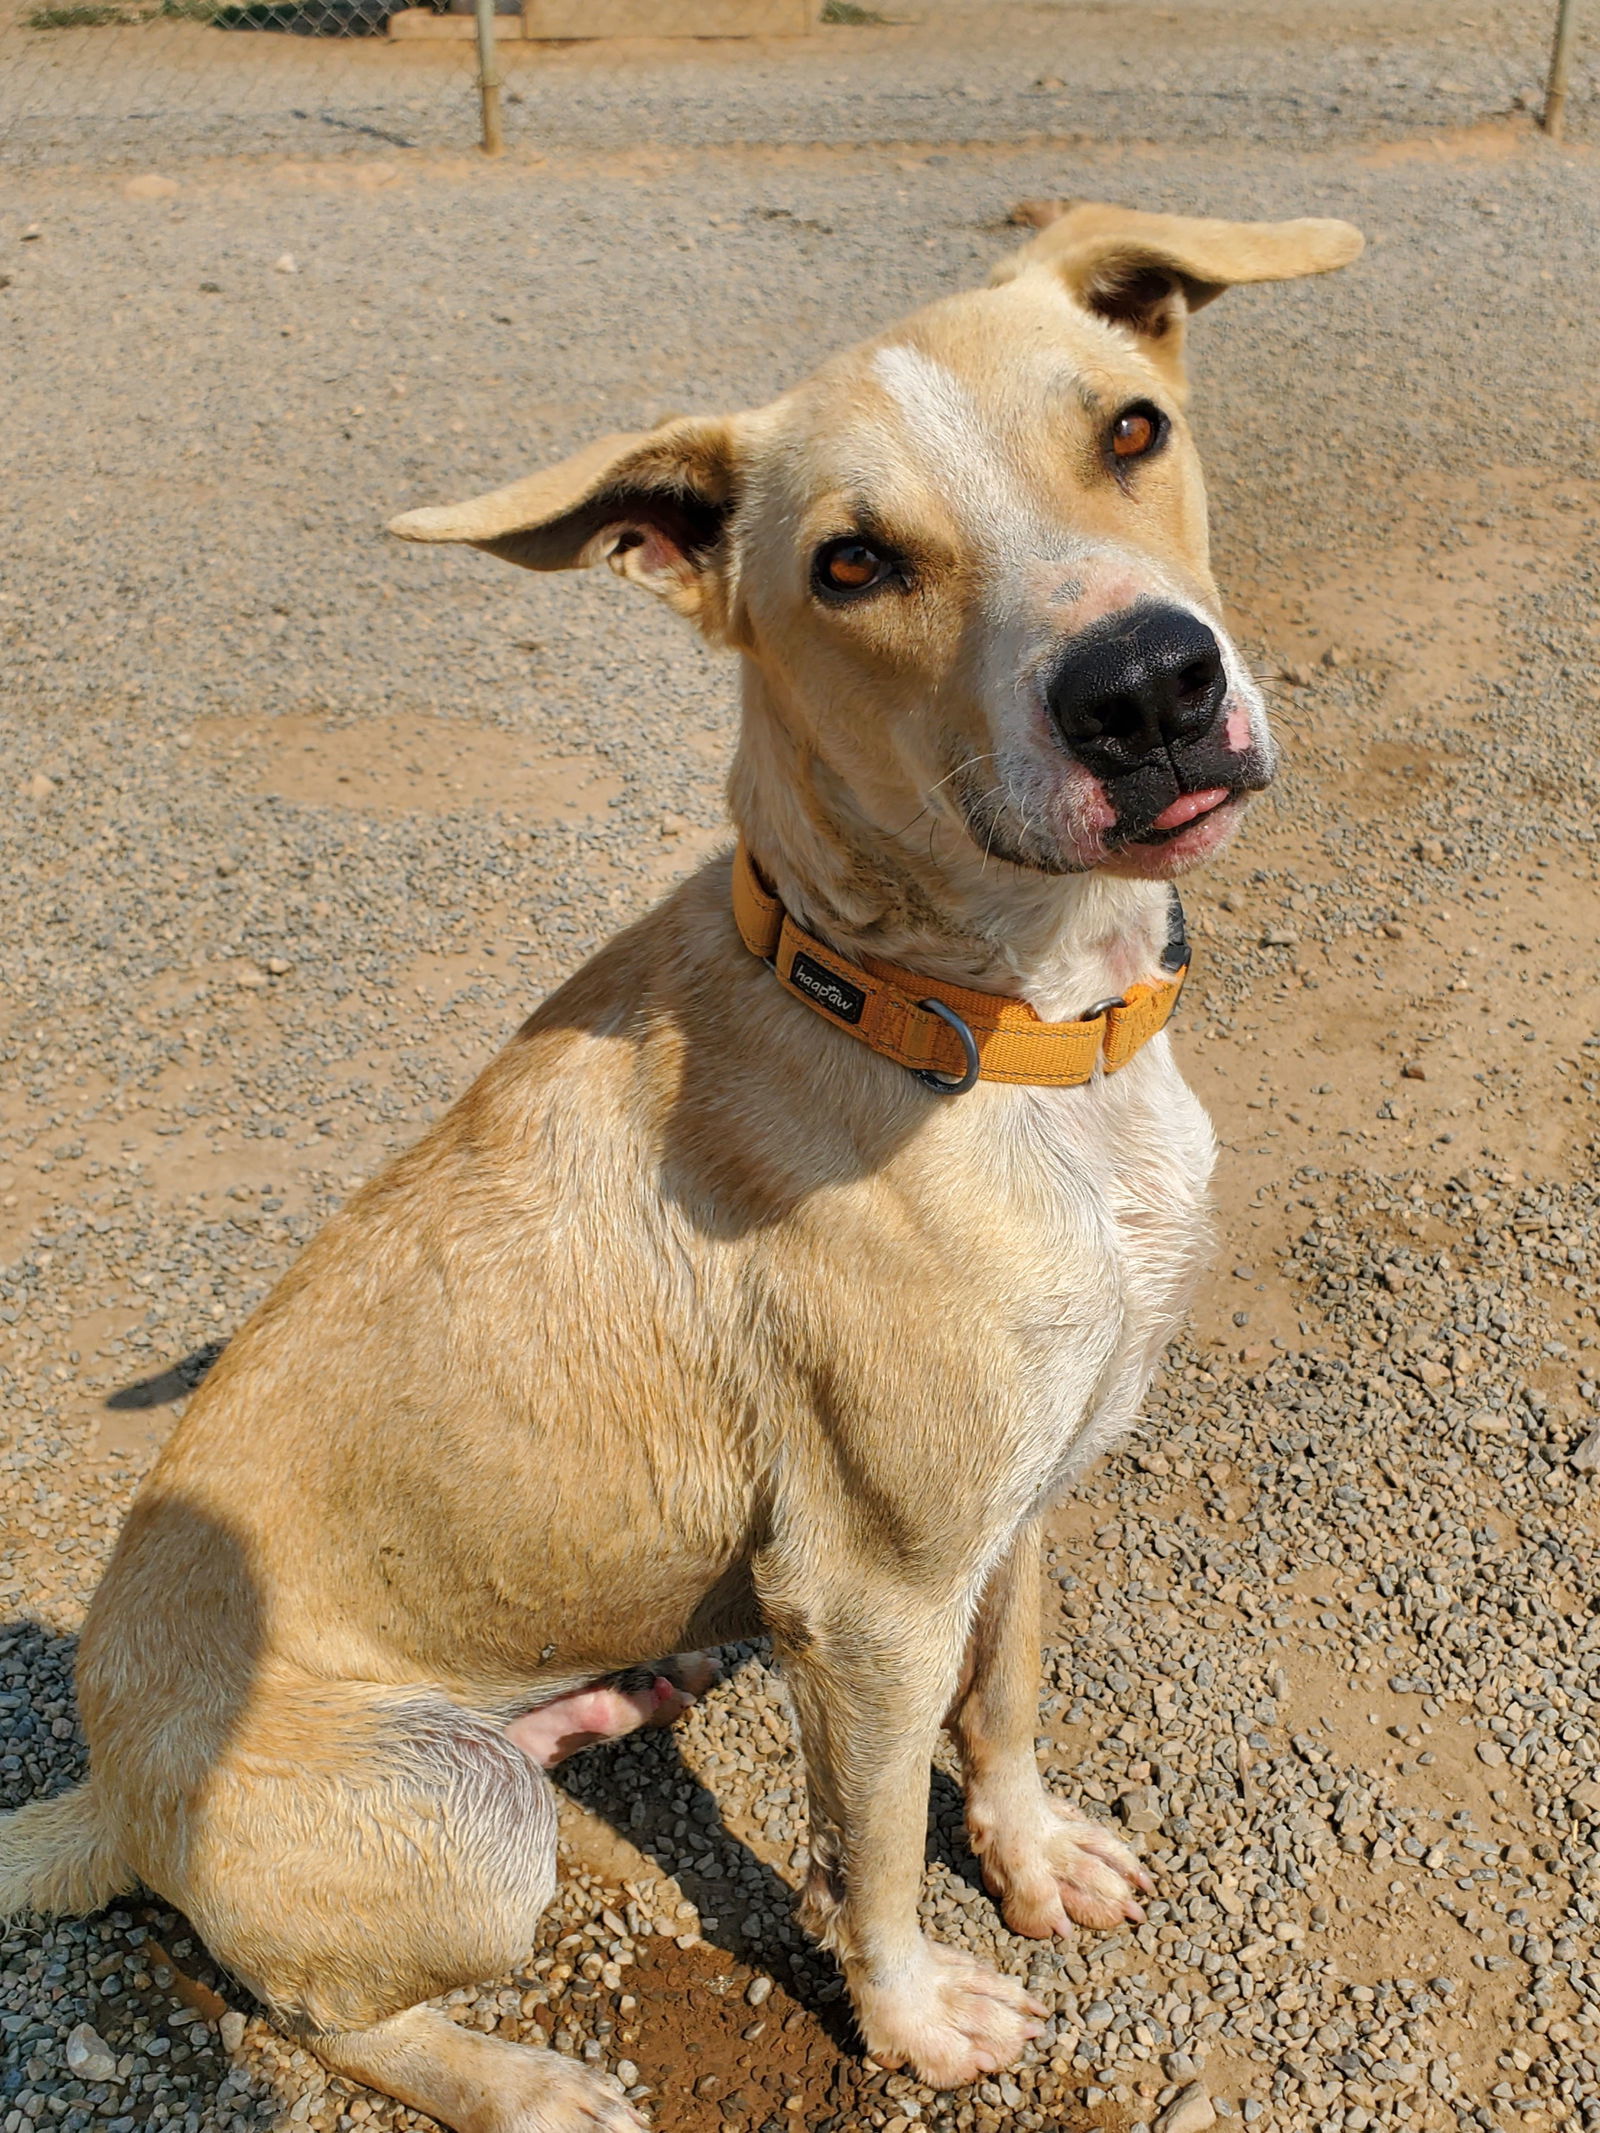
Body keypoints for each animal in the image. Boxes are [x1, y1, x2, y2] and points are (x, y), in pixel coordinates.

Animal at [0, 203, 1365, 2133]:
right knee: (315, 2010)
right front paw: (915, 2014)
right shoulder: (866, 1595)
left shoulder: (1023, 1494)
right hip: (463, 1821)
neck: (979, 1021)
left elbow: (1011, 1696)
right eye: (852, 563)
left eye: (1130, 428)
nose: (1147, 687)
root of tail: (107, 1785)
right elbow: (875, 1843)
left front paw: (1033, 1856)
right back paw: (526, 2085)